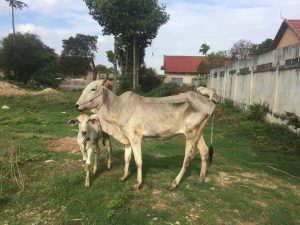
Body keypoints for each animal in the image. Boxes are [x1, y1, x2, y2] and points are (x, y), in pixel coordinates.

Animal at [75, 81, 216, 190]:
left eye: (93, 88)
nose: (76, 105)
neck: (118, 107)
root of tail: (207, 99)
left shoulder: (135, 138)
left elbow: (138, 161)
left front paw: (138, 184)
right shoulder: (127, 139)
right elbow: (127, 158)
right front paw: (124, 176)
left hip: (191, 134)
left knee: (188, 157)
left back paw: (174, 183)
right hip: (198, 132)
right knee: (204, 152)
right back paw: (201, 179)